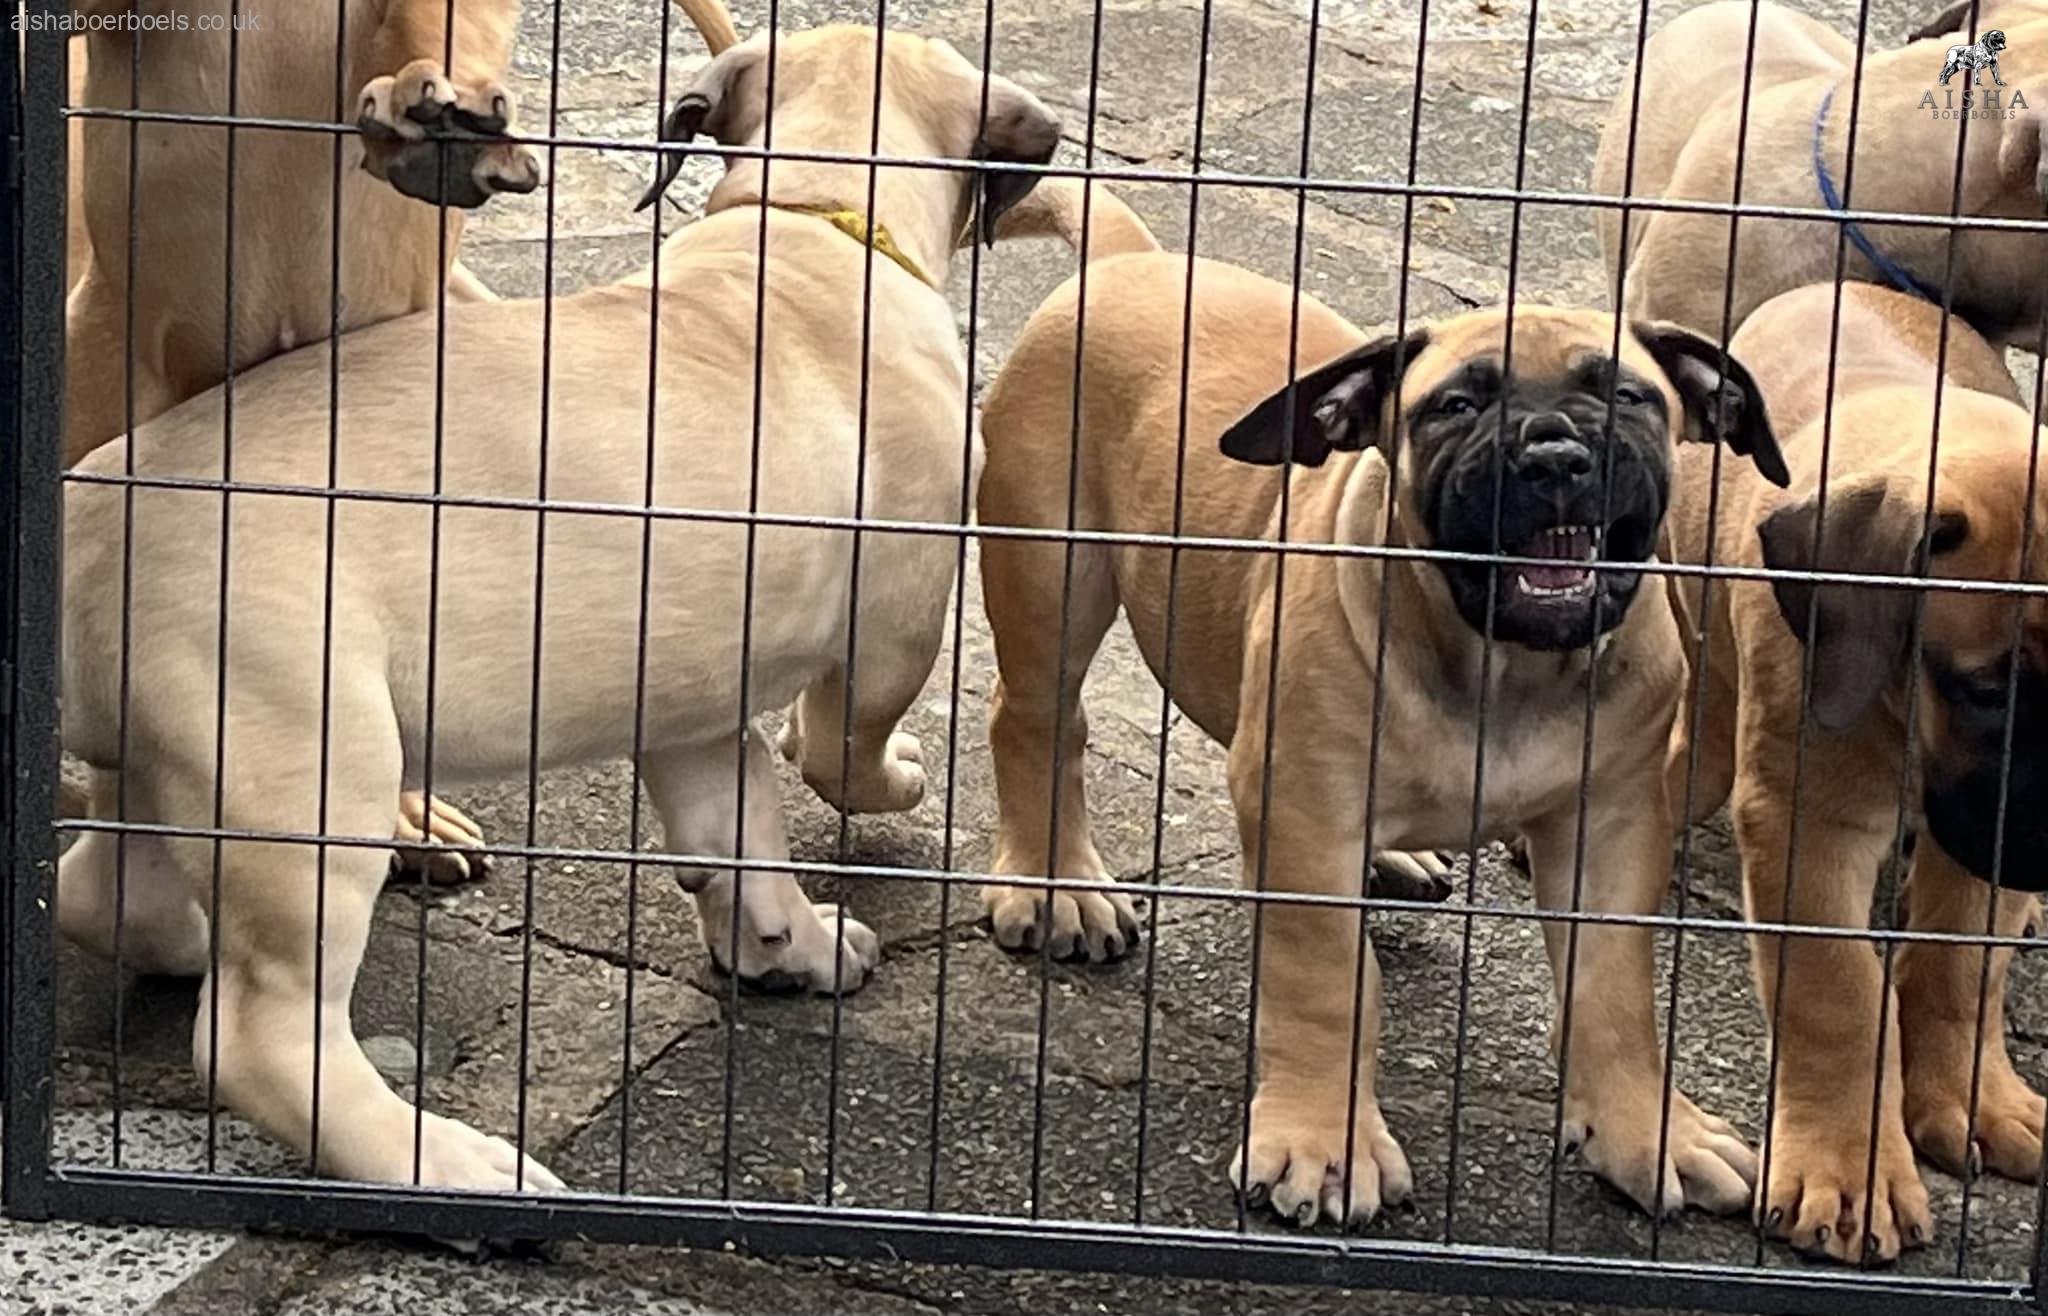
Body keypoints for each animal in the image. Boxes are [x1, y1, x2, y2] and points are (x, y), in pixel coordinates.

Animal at [58, 18, 1064, 1195]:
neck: (806, 214)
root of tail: (87, 523)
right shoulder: (896, 622)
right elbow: (838, 747)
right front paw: (894, 779)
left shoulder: (690, 699)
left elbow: (741, 826)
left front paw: (790, 943)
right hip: (304, 766)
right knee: (263, 1034)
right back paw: (447, 1162)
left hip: (177, 754)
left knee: (109, 891)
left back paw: (183, 934)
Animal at [983, 183, 1785, 1227]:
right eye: (1455, 406)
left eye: (1626, 396)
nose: (1554, 453)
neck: (1502, 666)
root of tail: (1133, 260)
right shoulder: (1304, 812)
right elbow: (1329, 981)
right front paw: (1322, 1142)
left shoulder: (1610, 823)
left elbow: (1611, 989)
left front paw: (1649, 1131)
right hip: (1052, 576)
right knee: (1039, 721)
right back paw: (1058, 885)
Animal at [1662, 282, 2048, 1268]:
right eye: (1984, 690)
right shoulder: (1809, 820)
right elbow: (1836, 991)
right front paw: (1845, 1171)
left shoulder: (1978, 839)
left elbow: (1960, 970)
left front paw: (1969, 1101)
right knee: (1698, 735)